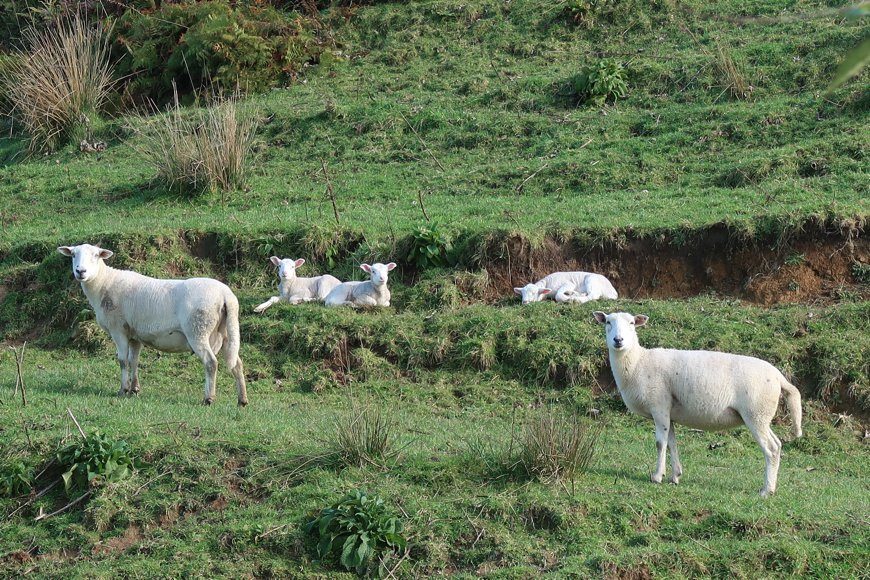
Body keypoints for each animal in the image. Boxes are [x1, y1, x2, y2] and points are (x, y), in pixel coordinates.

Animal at [58, 244, 248, 406]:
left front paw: (123, 390)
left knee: (211, 362)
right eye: (73, 255)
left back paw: (209, 399)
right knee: (237, 363)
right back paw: (242, 400)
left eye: (96, 255)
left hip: (198, 330)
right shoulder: (134, 334)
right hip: (226, 331)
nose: (80, 271)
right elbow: (133, 360)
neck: (104, 284)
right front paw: (134, 389)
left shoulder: (118, 330)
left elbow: (122, 361)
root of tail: (226, 295)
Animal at [593, 311, 802, 497]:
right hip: (762, 416)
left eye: (631, 323)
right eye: (608, 322)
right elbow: (672, 443)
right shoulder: (669, 413)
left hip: (756, 413)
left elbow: (660, 444)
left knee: (772, 449)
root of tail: (779, 376)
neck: (638, 362)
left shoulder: (659, 406)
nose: (618, 340)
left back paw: (767, 490)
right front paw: (675, 476)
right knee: (777, 444)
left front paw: (657, 476)